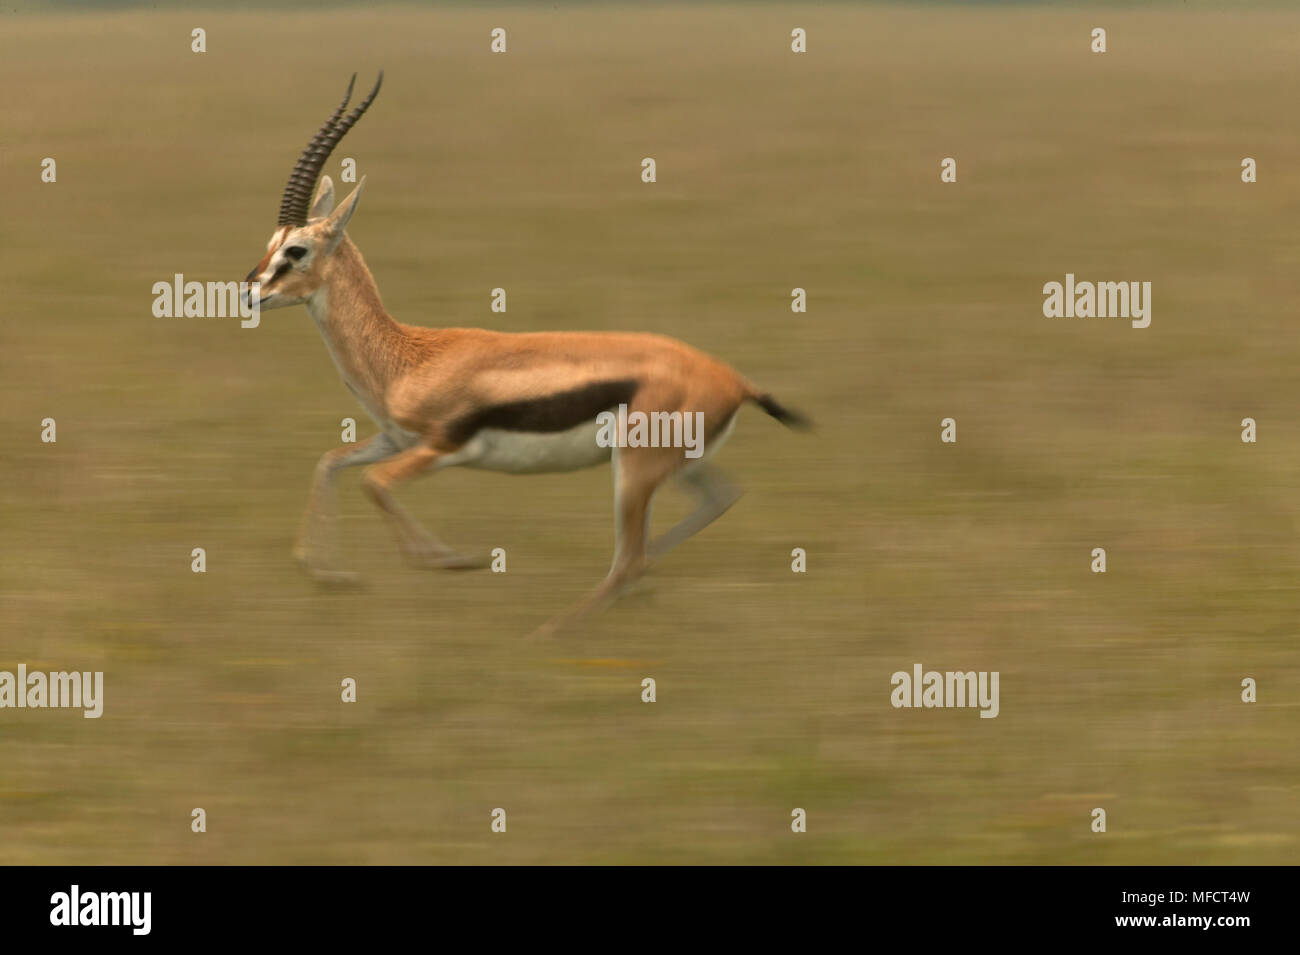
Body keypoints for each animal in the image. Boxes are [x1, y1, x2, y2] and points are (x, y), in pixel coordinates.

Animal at [244, 74, 810, 636]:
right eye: (271, 242)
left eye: (296, 250)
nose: (249, 292)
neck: (408, 356)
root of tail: (734, 381)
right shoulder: (396, 439)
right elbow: (331, 462)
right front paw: (329, 575)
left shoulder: (442, 446)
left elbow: (373, 482)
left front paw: (453, 562)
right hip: (678, 466)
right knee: (707, 507)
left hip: (634, 469)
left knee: (629, 559)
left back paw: (548, 632)